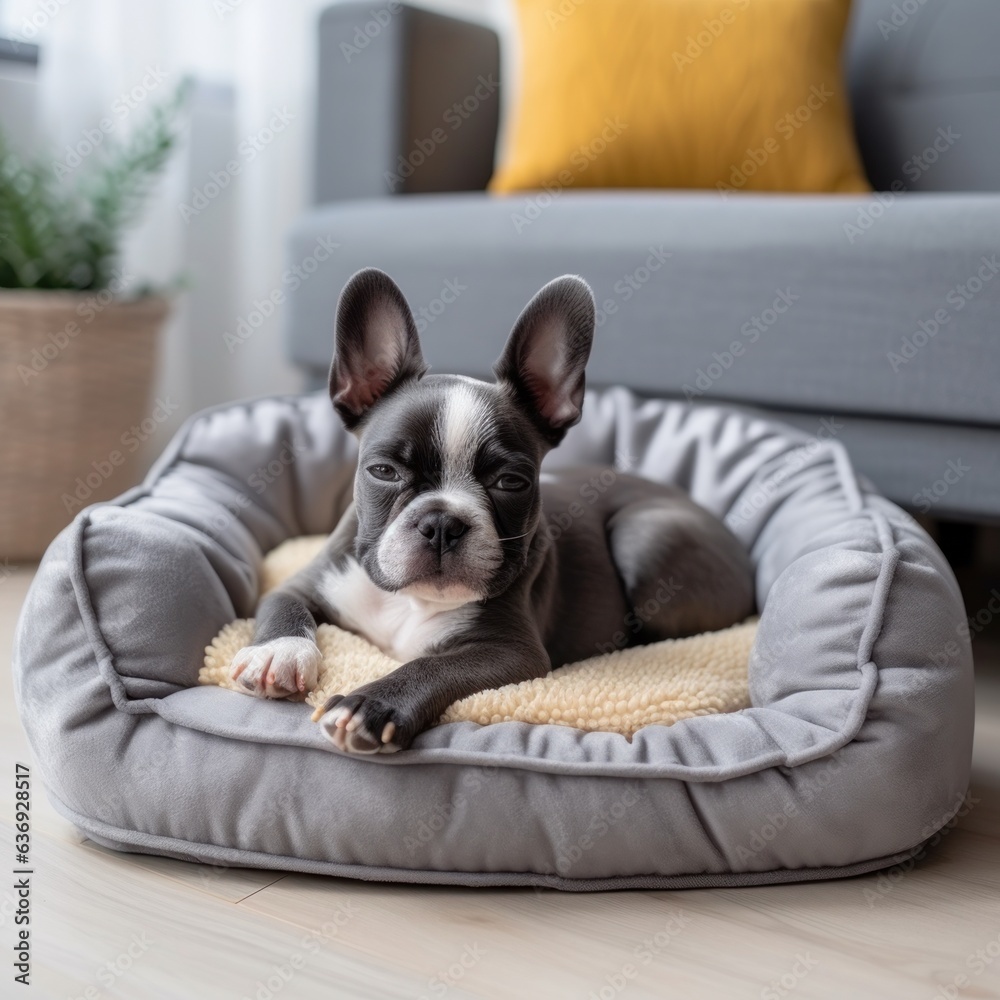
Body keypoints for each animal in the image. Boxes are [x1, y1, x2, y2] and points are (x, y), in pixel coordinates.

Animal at [232, 270, 752, 752]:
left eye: (511, 483)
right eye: (383, 471)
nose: (442, 523)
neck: (411, 601)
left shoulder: (512, 653)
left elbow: (433, 665)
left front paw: (370, 705)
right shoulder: (310, 580)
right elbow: (283, 605)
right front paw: (278, 654)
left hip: (644, 538)